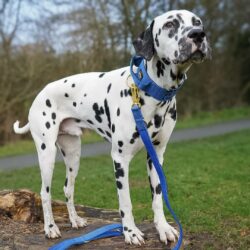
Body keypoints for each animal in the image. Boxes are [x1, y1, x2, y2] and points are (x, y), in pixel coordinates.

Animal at [13, 10, 209, 246]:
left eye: (197, 22)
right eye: (170, 24)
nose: (198, 34)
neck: (152, 91)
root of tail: (40, 94)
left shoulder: (156, 155)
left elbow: (158, 197)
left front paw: (163, 228)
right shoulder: (120, 159)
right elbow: (125, 202)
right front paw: (130, 232)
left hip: (73, 155)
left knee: (68, 188)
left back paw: (75, 220)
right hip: (47, 154)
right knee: (45, 192)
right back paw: (50, 228)